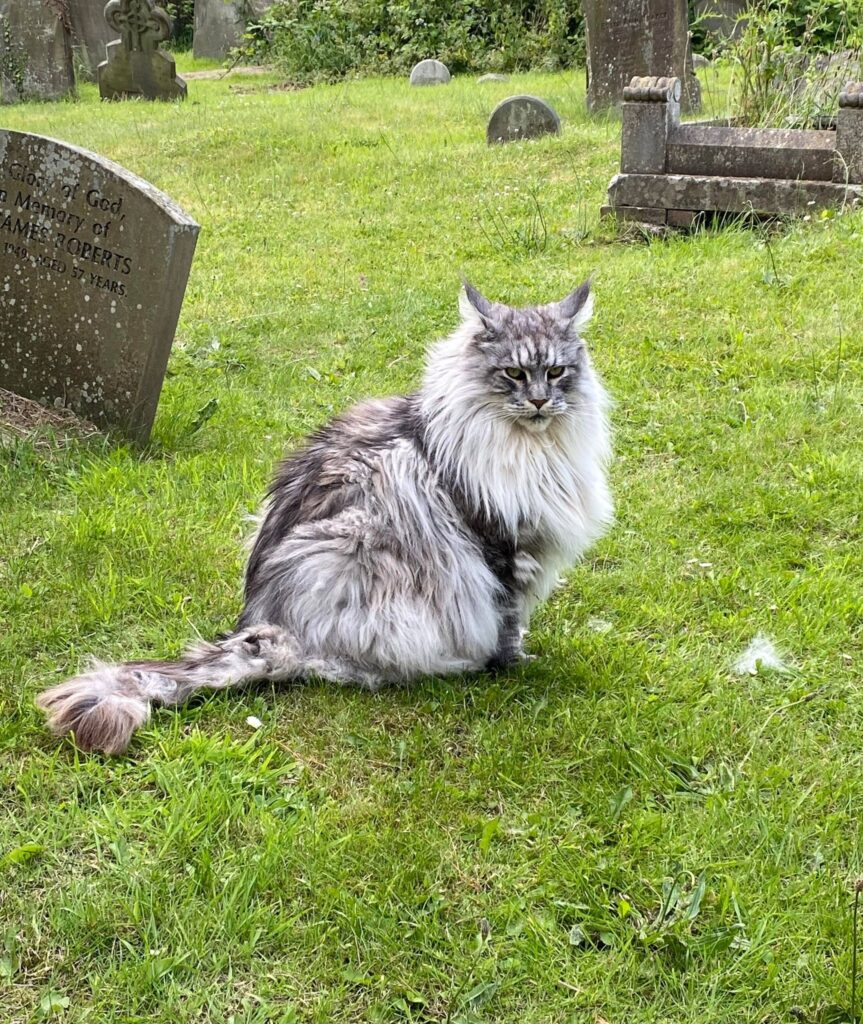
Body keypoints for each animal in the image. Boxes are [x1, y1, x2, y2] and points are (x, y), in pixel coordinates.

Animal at [36, 281, 613, 755]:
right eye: (513, 373)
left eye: (556, 372)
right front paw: (515, 666)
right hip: (352, 550)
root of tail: (266, 622)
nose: (539, 402)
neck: (532, 449)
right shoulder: (503, 547)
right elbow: (509, 623)